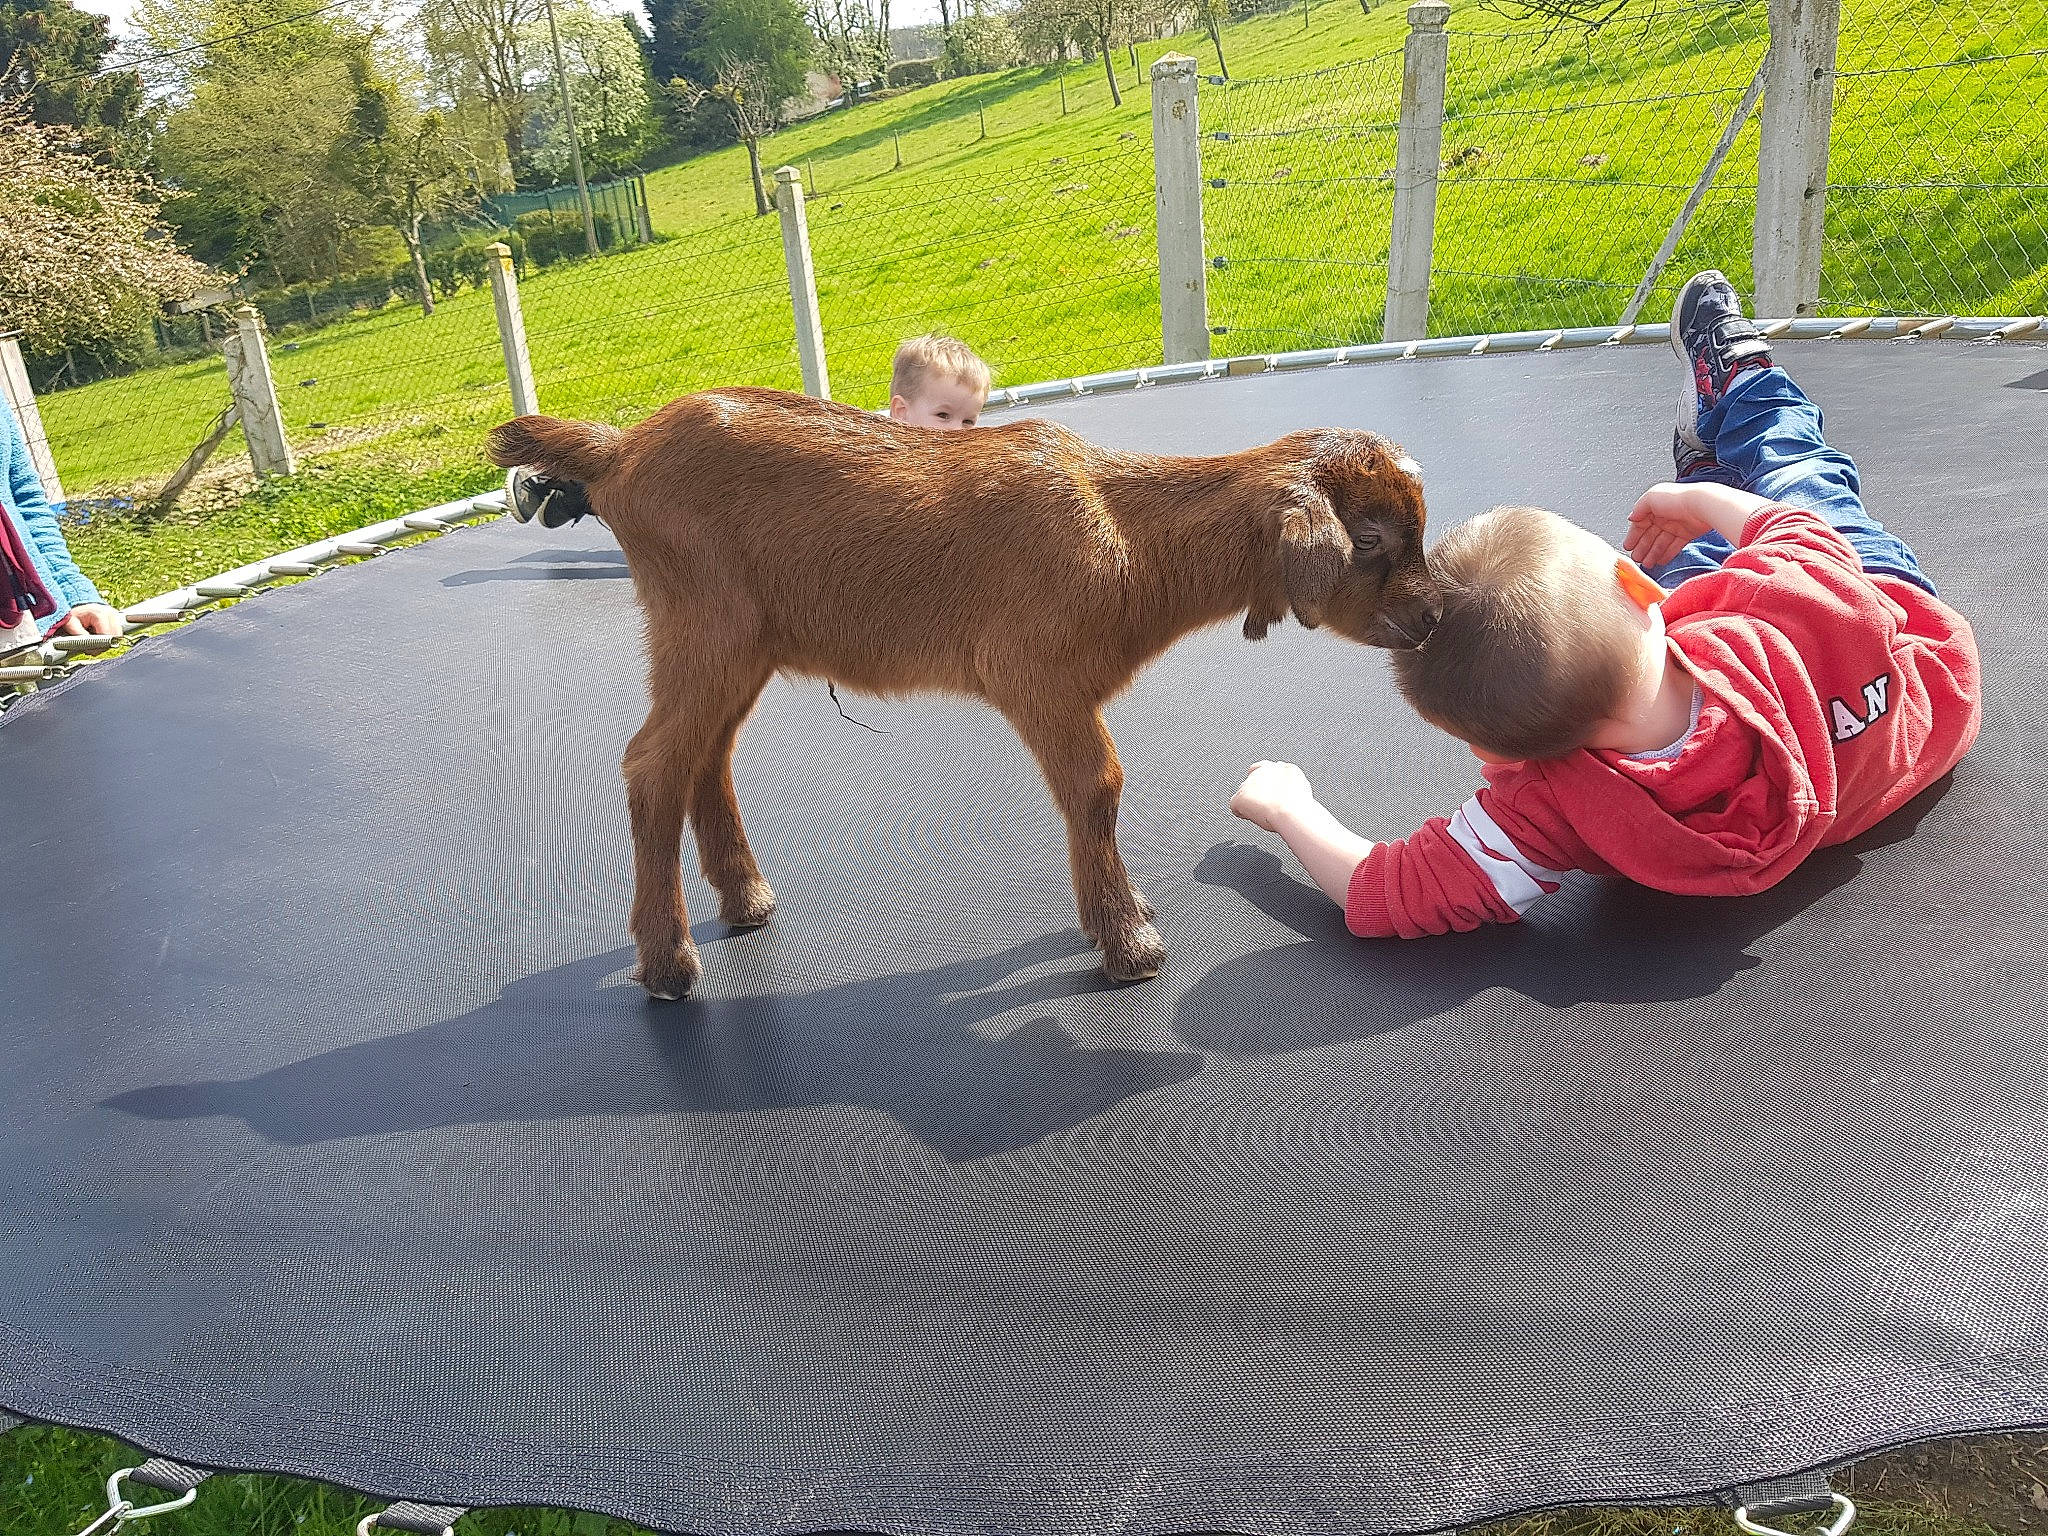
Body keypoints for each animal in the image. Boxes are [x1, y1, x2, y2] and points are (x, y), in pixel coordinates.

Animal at [488, 387, 1438, 999]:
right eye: (1370, 538)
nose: (1434, 616)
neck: (1131, 536)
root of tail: (619, 449)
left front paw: (1114, 915)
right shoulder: (1040, 676)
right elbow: (1096, 790)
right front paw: (1128, 944)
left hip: (737, 644)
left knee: (705, 760)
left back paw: (746, 902)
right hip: (703, 623)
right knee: (653, 766)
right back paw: (669, 965)